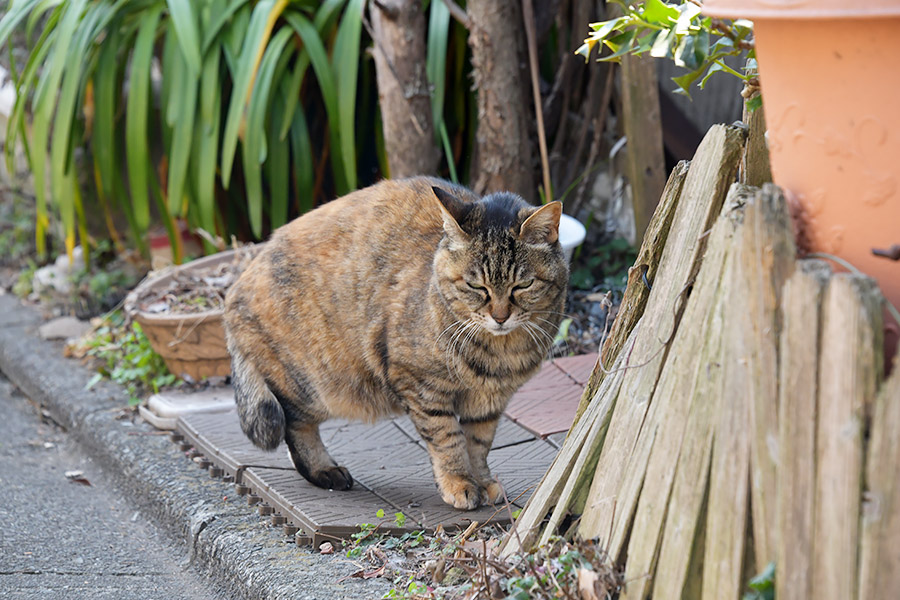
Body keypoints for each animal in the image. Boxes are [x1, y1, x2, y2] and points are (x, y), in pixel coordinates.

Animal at [221, 176, 568, 508]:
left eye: (523, 285)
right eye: (476, 286)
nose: (500, 317)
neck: (499, 352)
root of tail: (233, 290)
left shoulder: (490, 402)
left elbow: (478, 445)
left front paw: (482, 481)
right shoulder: (421, 387)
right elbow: (448, 439)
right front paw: (459, 484)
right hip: (313, 385)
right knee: (294, 424)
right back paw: (323, 470)